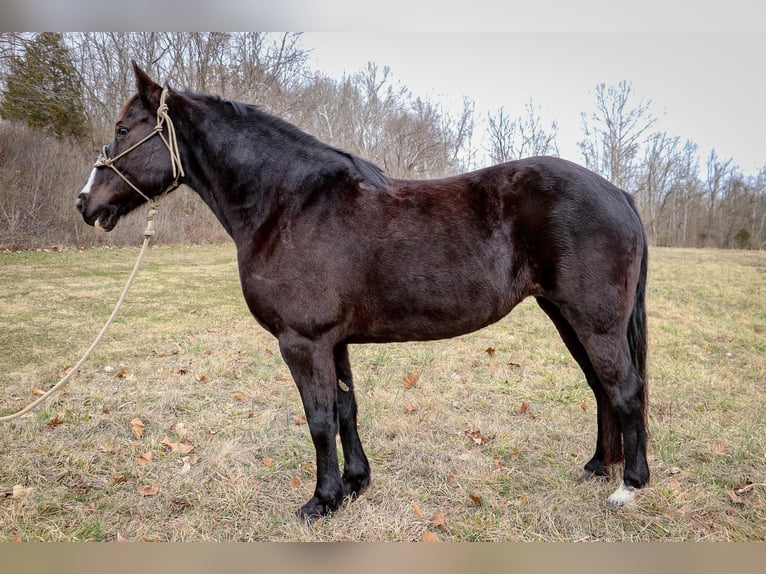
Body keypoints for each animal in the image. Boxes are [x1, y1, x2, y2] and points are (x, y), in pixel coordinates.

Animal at [76, 64, 648, 520]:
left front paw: (321, 501)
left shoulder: (302, 342)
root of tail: (618, 192)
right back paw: (599, 466)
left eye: (123, 129)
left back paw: (629, 486)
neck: (288, 203)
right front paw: (354, 485)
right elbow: (346, 410)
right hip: (566, 316)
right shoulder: (334, 341)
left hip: (593, 321)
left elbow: (319, 418)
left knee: (624, 389)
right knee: (602, 389)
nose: (86, 202)